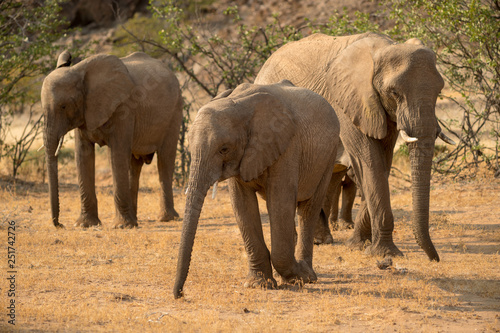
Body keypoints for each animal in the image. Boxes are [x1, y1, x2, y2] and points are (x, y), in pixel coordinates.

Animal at [40, 51, 183, 228]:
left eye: (64, 106)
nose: (60, 224)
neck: (80, 71)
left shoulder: (124, 107)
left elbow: (117, 154)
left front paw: (122, 226)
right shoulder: (85, 112)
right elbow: (83, 155)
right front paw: (85, 225)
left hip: (175, 111)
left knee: (164, 161)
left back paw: (167, 218)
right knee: (134, 165)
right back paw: (135, 219)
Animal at [172, 80, 340, 298]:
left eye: (224, 149)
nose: (180, 294)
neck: (239, 105)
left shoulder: (287, 146)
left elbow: (280, 202)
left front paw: (296, 278)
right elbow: (242, 205)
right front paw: (258, 284)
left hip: (330, 153)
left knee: (308, 209)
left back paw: (308, 276)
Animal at [256, 31, 456, 260]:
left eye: (439, 91)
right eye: (394, 93)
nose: (435, 259)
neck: (382, 49)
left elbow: (383, 163)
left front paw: (359, 245)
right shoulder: (346, 102)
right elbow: (369, 162)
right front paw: (385, 252)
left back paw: (320, 239)